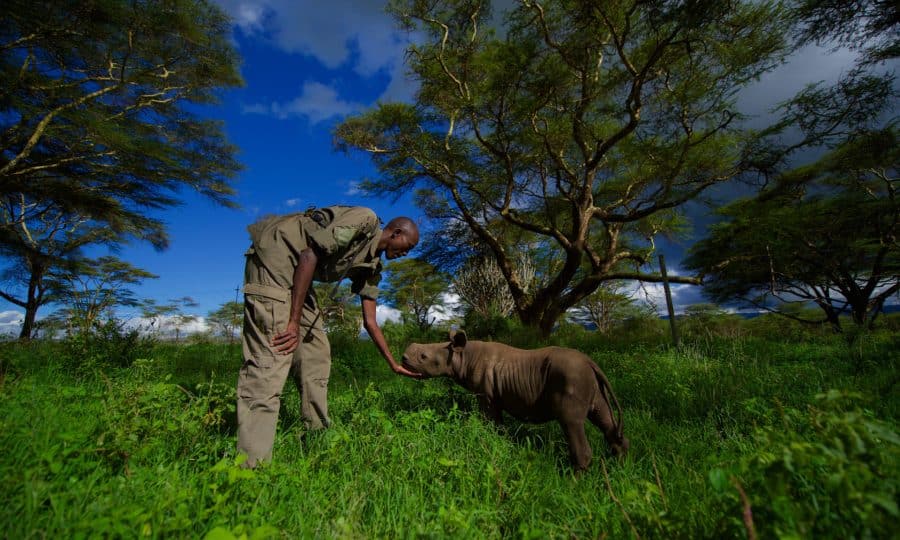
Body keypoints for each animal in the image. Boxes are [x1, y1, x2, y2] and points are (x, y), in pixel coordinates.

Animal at [402, 330, 628, 471]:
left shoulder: (486, 394)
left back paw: (574, 481)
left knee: (570, 421)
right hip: (587, 379)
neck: (462, 355)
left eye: (423, 357)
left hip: (571, 375)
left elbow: (491, 421)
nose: (403, 358)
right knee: (603, 417)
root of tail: (591, 363)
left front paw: (492, 441)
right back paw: (621, 466)